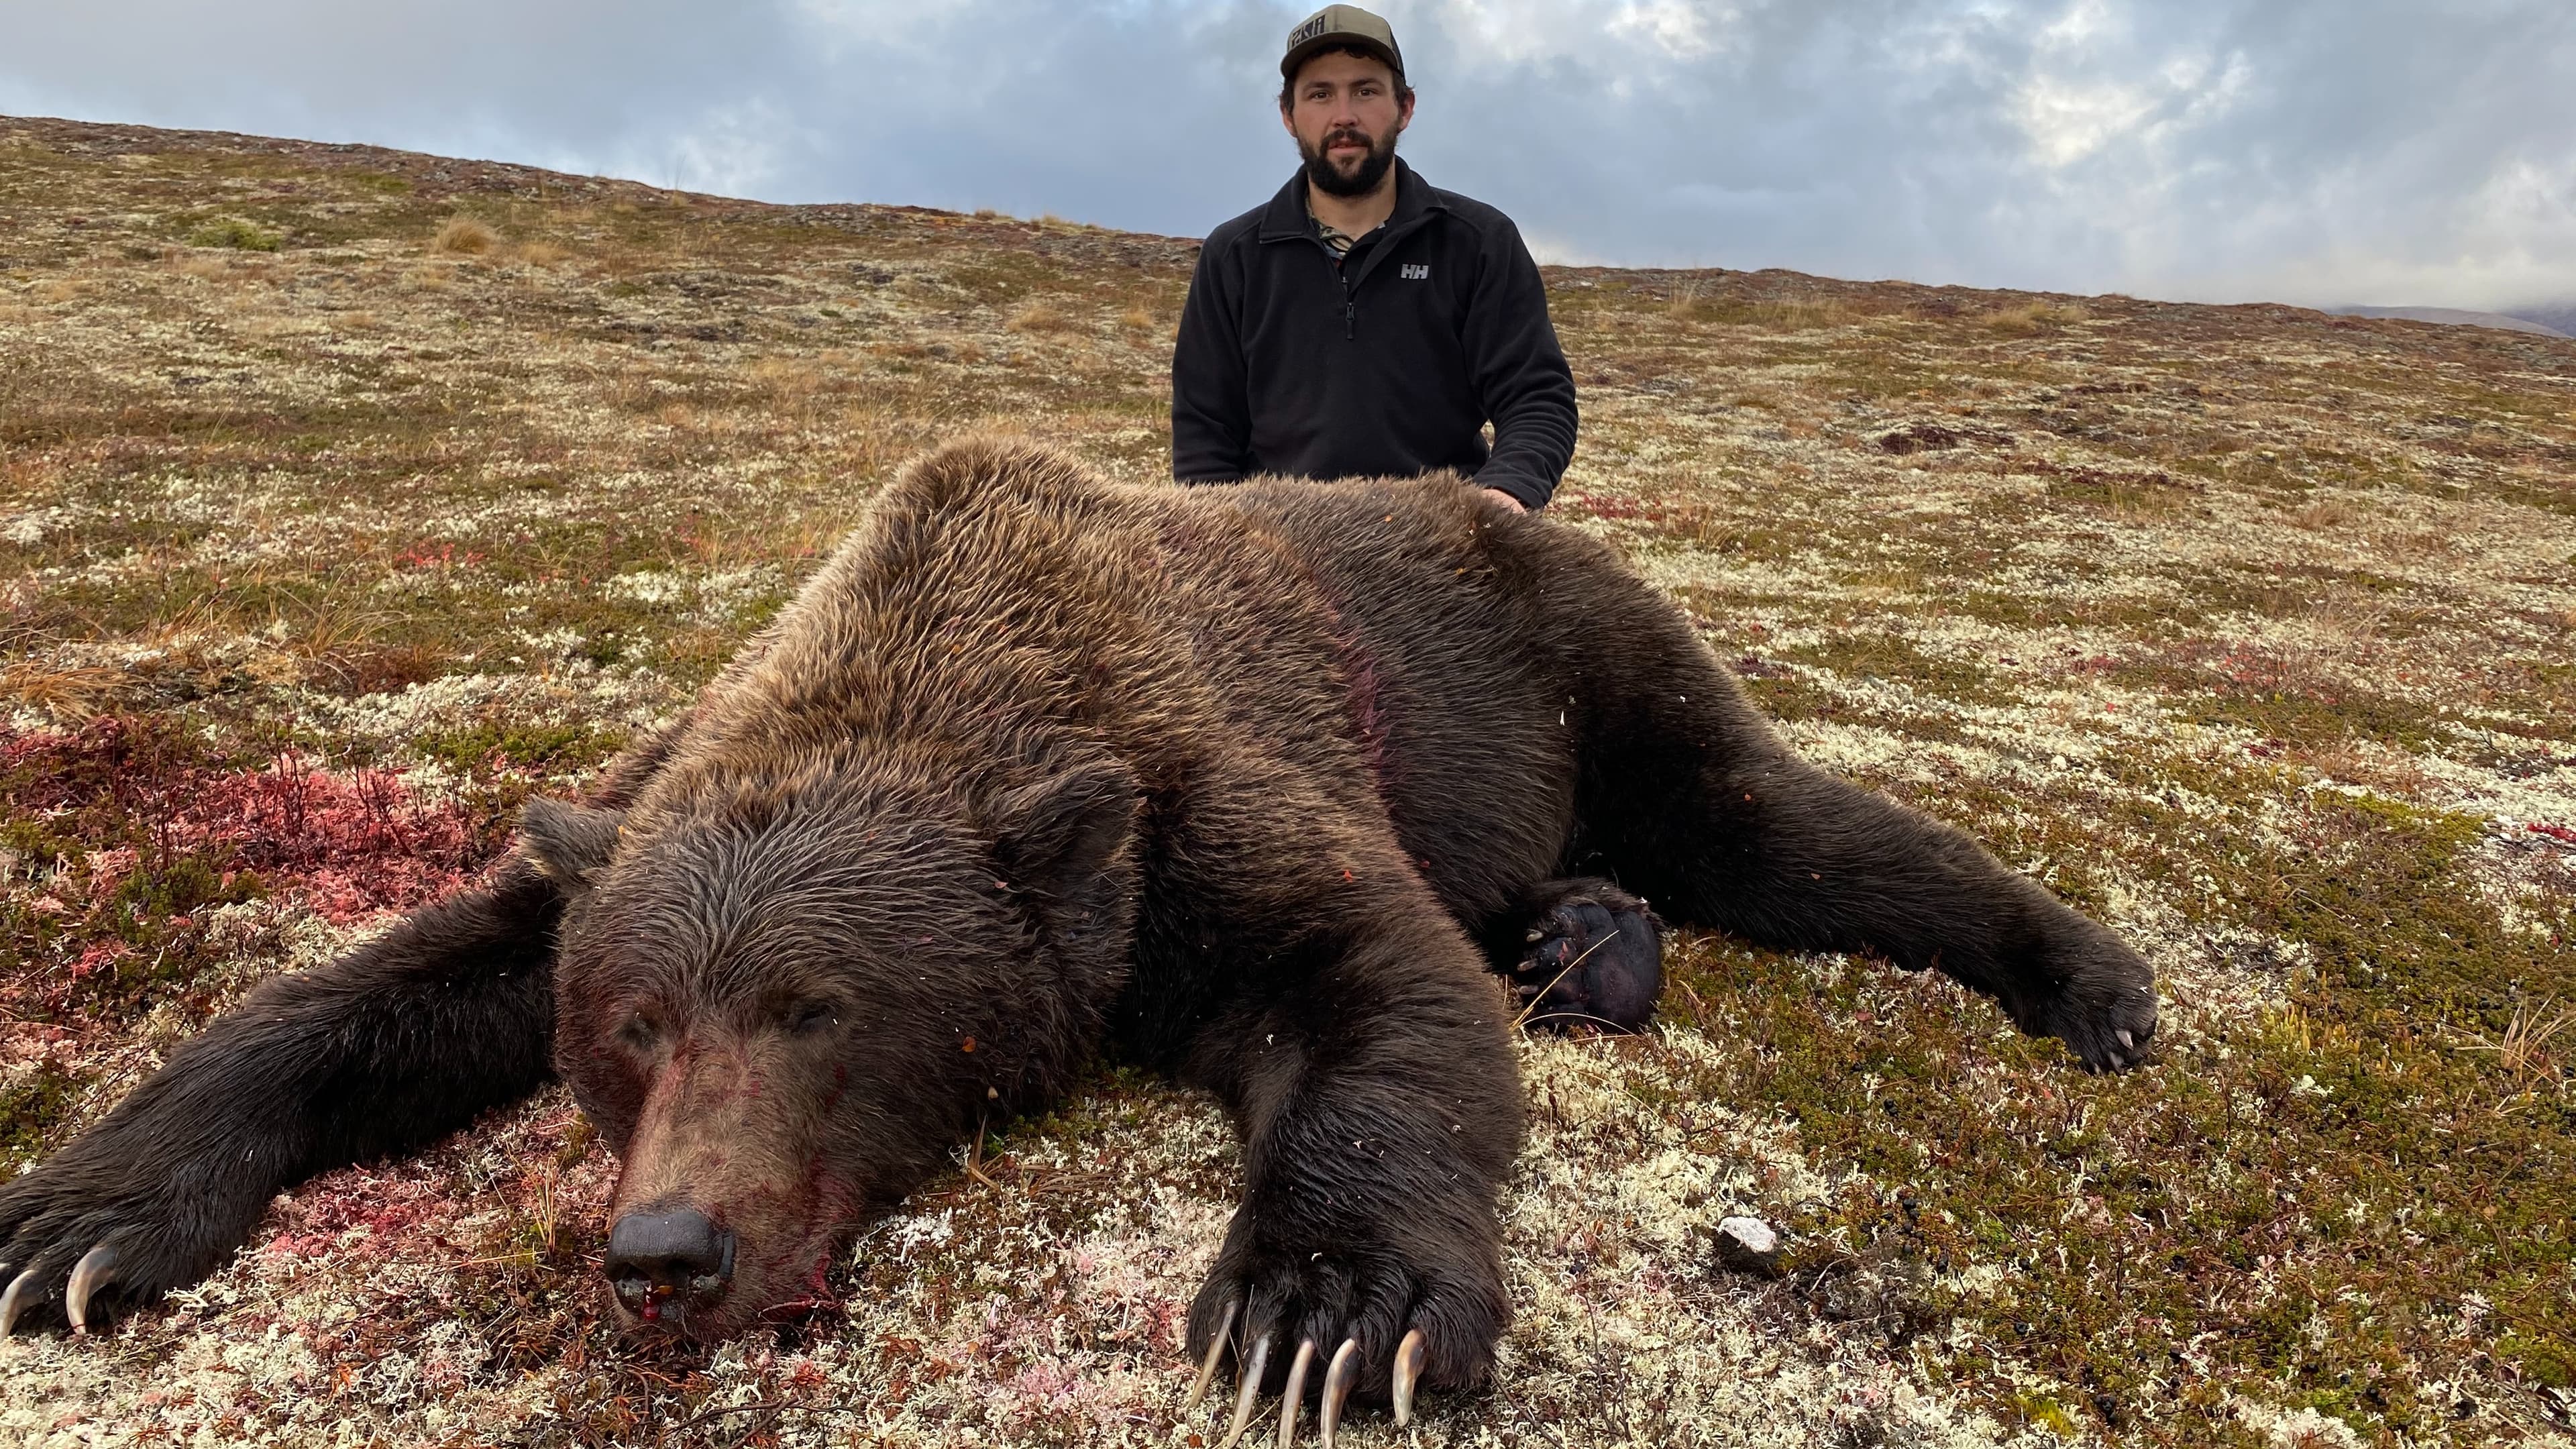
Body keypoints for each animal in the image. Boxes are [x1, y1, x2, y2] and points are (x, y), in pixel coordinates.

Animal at [0, 438, 2156, 1445]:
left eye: (817, 1008)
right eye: (628, 1030)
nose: (668, 1250)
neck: (937, 658)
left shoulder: (1196, 809)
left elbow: (1383, 992)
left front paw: (1323, 1308)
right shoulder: (638, 806)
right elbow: (391, 979)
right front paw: (78, 1222)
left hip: (1581, 664)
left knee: (1780, 830)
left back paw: (2092, 979)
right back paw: (1588, 938)